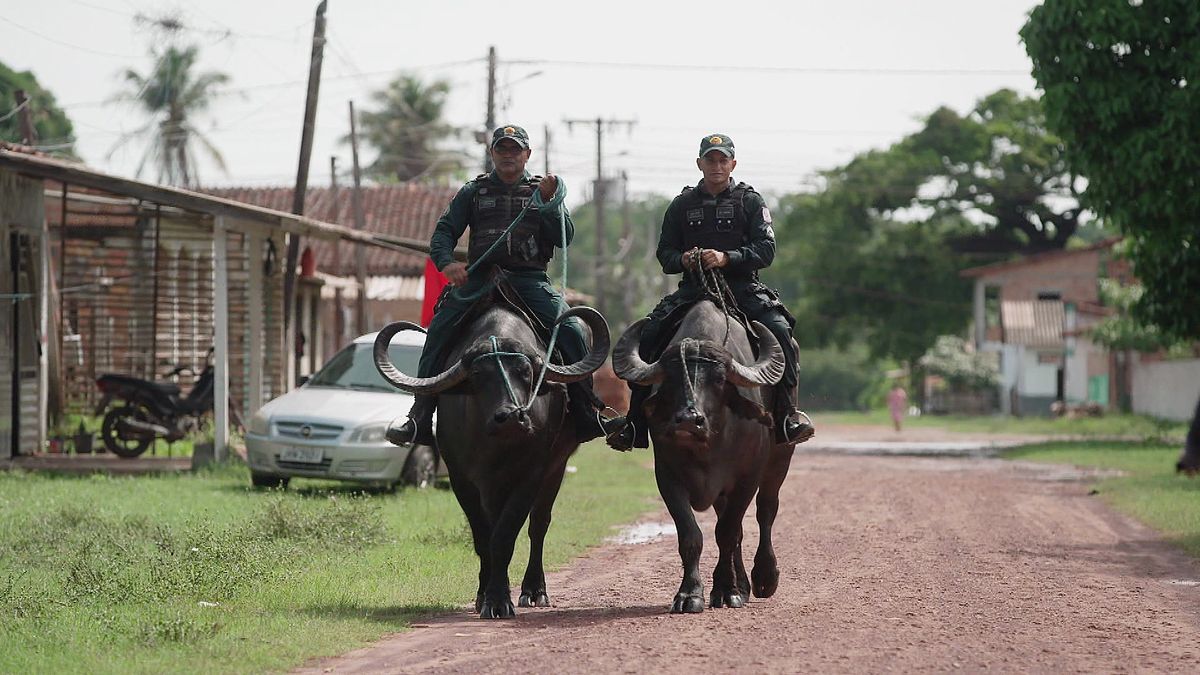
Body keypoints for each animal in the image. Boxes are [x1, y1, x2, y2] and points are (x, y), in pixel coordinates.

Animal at [372, 303, 609, 614]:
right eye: (478, 376)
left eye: (526, 372)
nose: (511, 417)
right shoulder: (463, 479)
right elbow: (484, 536)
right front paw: (486, 595)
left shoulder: (532, 474)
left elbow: (505, 535)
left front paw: (499, 600)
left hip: (556, 467)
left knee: (539, 524)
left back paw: (534, 590)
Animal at [614, 299, 792, 610]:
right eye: (670, 380)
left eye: (719, 381)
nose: (688, 420)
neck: (707, 445)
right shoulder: (668, 477)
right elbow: (692, 535)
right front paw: (691, 594)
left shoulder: (747, 478)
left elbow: (727, 532)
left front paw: (727, 591)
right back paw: (743, 584)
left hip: (780, 460)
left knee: (766, 510)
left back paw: (763, 578)